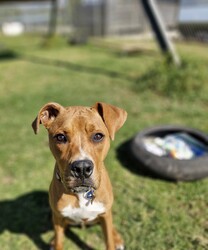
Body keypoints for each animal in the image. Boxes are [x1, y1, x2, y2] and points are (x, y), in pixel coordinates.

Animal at [32, 102, 127, 250]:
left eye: (98, 136)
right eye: (60, 137)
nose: (82, 168)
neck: (82, 193)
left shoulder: (105, 215)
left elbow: (109, 241)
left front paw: (114, 240)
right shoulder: (58, 218)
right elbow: (59, 240)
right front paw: (55, 242)